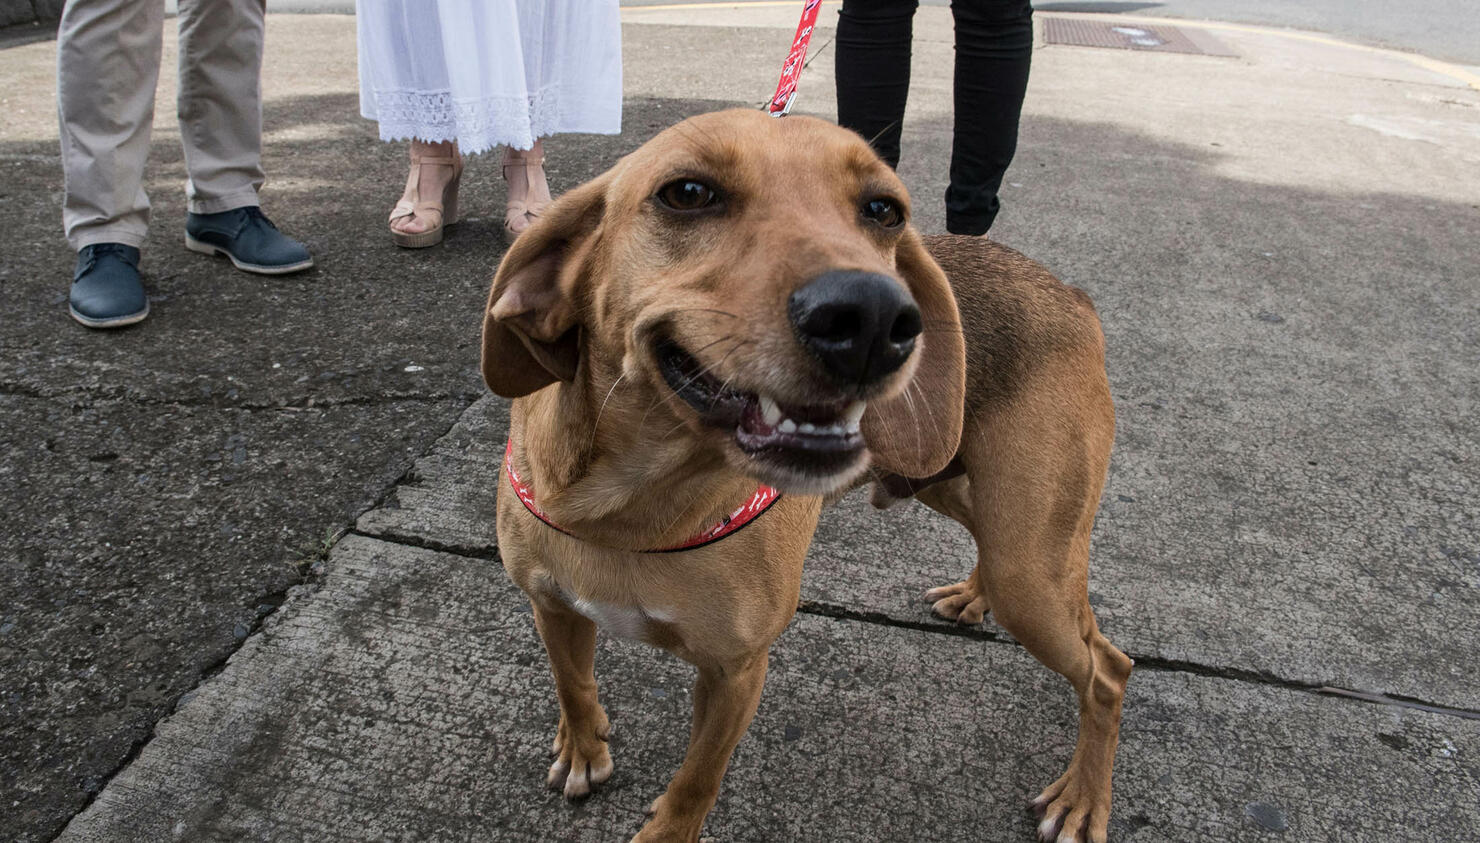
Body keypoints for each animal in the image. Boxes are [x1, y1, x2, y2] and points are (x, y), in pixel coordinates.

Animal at [479, 107, 1124, 834]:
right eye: (688, 193)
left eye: (883, 209)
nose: (874, 317)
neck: (629, 507)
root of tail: (1072, 294)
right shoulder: (552, 606)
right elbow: (573, 683)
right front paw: (584, 747)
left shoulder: (736, 671)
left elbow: (696, 781)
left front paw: (665, 823)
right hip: (951, 484)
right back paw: (972, 594)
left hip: (1029, 568)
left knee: (1109, 669)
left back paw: (1083, 799)